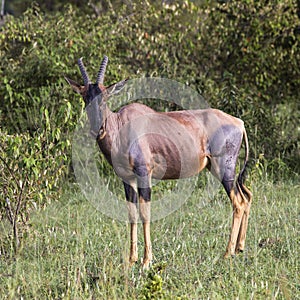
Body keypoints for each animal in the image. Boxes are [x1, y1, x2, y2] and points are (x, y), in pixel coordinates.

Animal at [66, 55, 253, 268]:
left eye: (105, 97)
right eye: (85, 97)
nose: (98, 130)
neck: (122, 124)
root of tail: (239, 123)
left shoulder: (143, 173)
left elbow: (145, 213)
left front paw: (146, 261)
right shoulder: (127, 178)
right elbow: (132, 214)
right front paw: (131, 259)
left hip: (224, 169)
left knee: (238, 203)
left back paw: (227, 254)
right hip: (222, 170)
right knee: (247, 197)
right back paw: (239, 248)